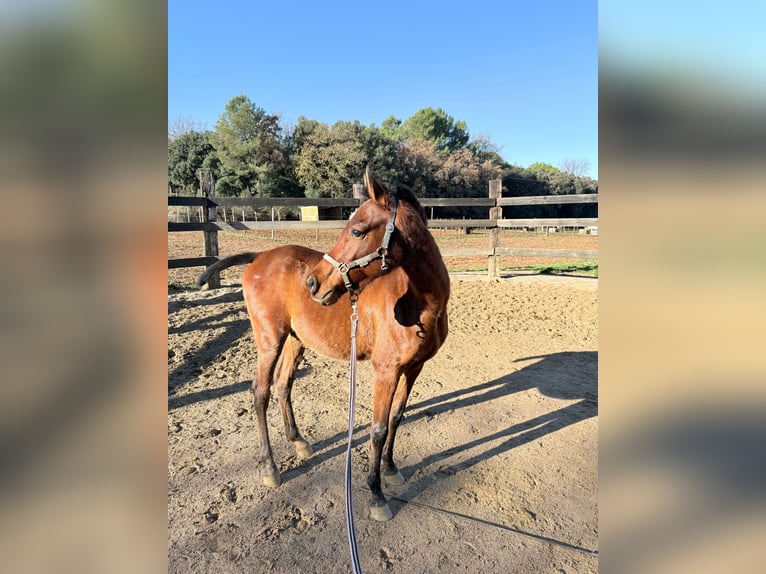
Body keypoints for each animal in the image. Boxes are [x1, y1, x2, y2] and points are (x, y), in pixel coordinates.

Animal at [196, 169, 450, 521]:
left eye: (357, 230)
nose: (313, 283)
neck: (418, 305)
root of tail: (260, 257)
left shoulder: (413, 368)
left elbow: (397, 417)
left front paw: (391, 469)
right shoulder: (385, 371)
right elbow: (377, 428)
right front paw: (376, 495)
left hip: (295, 341)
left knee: (283, 384)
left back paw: (299, 442)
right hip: (270, 340)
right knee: (260, 392)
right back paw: (271, 468)